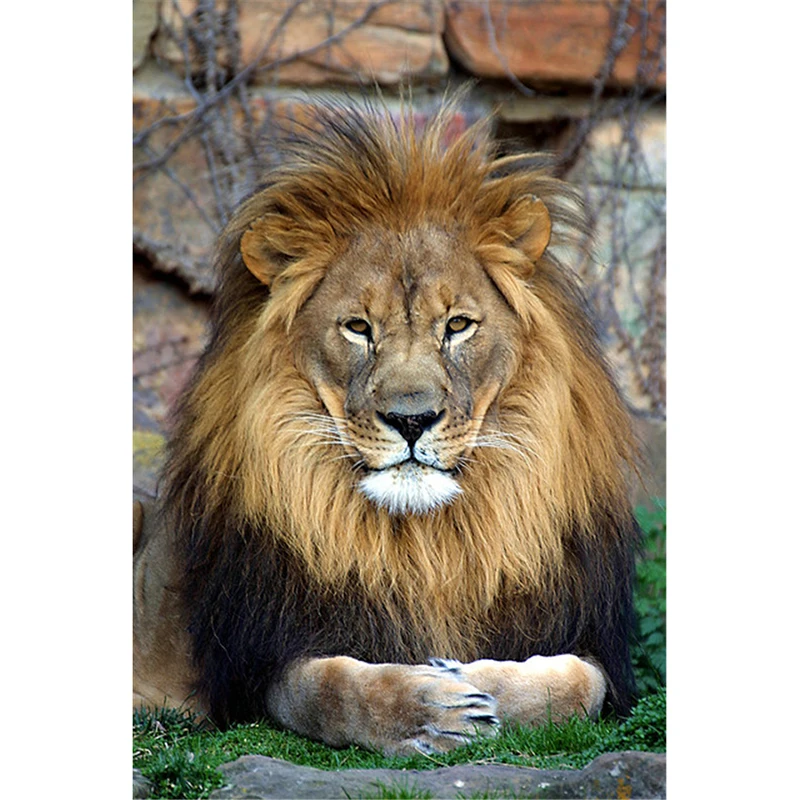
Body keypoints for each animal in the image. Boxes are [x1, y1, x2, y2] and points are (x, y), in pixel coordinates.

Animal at [133, 97, 641, 757]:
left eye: (457, 325)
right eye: (358, 328)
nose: (411, 419)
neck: (426, 544)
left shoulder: (585, 643)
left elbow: (580, 685)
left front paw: (475, 680)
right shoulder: (266, 663)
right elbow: (336, 689)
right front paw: (430, 707)